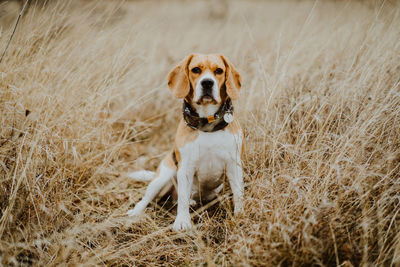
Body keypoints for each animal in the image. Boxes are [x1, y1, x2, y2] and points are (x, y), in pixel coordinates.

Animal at [126, 53, 244, 231]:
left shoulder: (234, 164)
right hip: (163, 177)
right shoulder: (186, 168)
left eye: (219, 70)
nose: (207, 82)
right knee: (148, 199)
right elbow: (182, 198)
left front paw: (240, 213)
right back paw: (136, 212)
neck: (207, 123)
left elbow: (238, 193)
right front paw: (182, 221)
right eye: (195, 70)